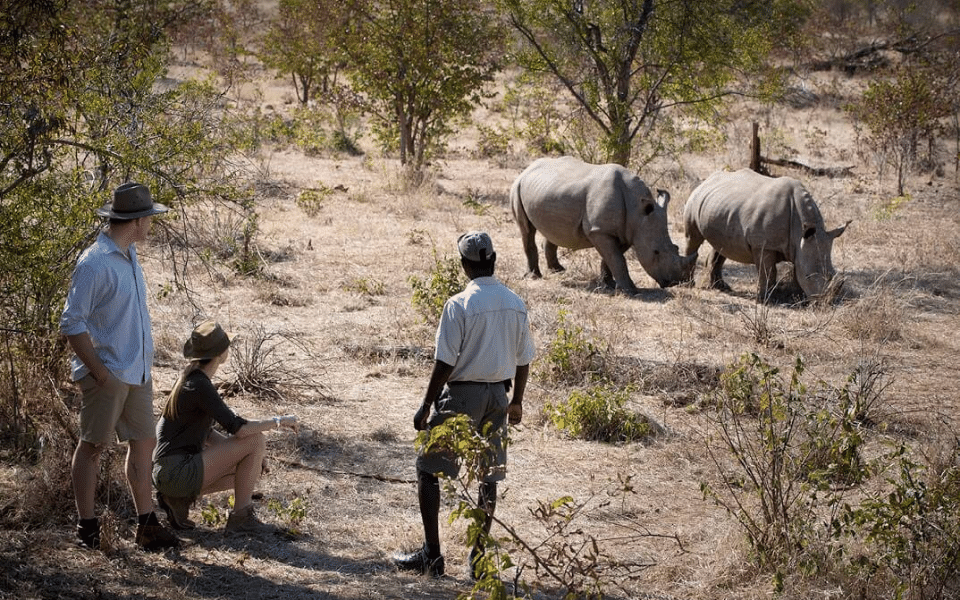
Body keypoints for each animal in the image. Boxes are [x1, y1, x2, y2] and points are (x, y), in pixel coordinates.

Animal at [510, 156, 696, 294]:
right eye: (656, 252)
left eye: (676, 248)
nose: (675, 283)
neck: (637, 210)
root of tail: (527, 168)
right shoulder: (600, 231)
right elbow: (617, 259)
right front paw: (630, 291)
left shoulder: (626, 232)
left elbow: (612, 258)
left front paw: (609, 284)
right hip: (517, 186)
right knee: (527, 231)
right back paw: (534, 276)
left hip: (548, 191)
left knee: (554, 229)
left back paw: (558, 270)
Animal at [684, 168, 848, 302]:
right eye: (808, 276)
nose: (825, 302)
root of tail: (707, 179)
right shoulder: (764, 245)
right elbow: (768, 271)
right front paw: (765, 300)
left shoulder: (800, 246)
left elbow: (796, 269)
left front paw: (797, 296)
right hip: (694, 198)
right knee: (693, 239)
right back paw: (688, 283)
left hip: (720, 206)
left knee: (722, 246)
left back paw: (721, 287)